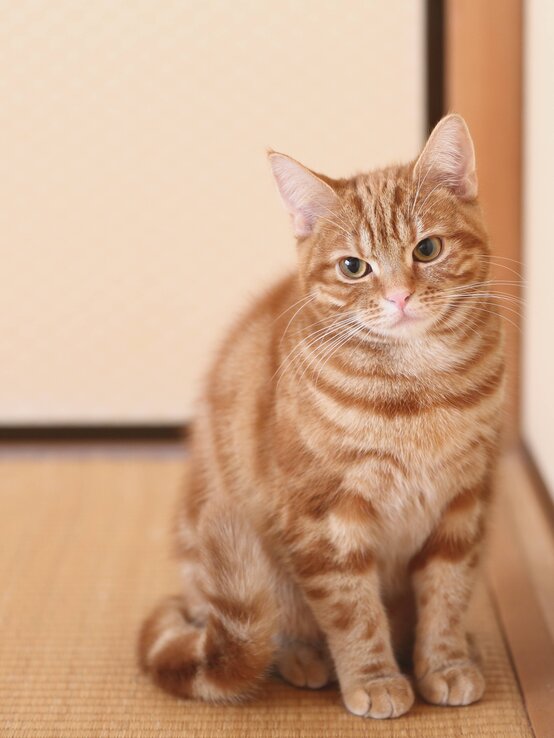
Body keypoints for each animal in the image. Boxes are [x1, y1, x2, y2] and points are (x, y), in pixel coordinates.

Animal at [139, 115, 504, 720]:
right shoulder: (325, 519)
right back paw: (302, 657)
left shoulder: (464, 503)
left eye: (427, 249)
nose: (400, 296)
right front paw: (374, 678)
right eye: (354, 267)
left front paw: (446, 663)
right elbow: (353, 612)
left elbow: (447, 596)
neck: (417, 392)